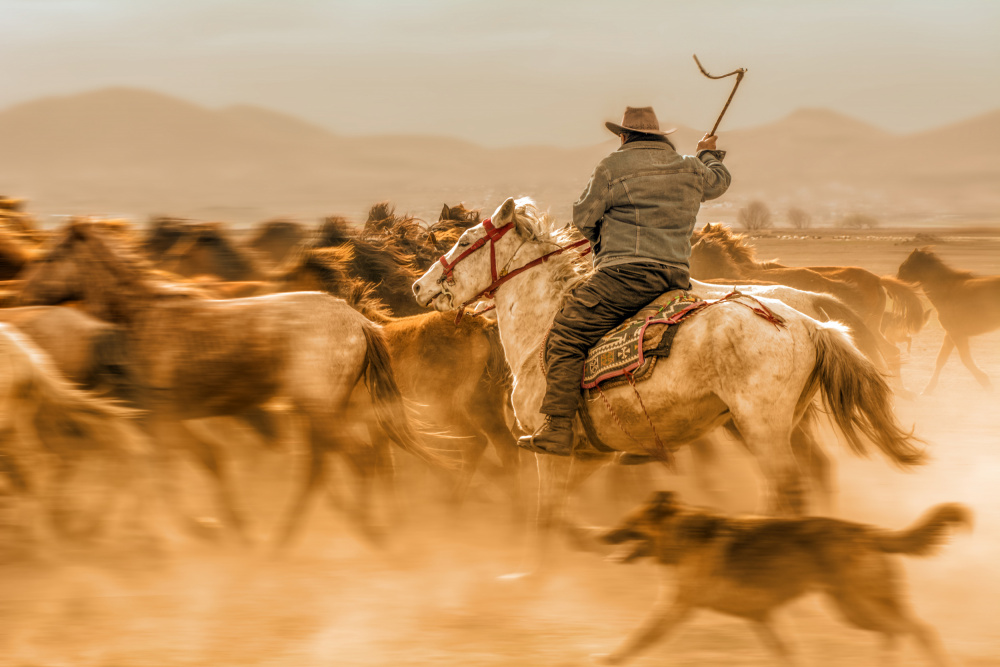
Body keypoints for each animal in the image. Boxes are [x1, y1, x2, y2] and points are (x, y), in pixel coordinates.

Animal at [12, 222, 446, 544]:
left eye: (50, 256)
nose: (21, 294)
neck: (143, 319)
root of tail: (358, 320)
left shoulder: (160, 420)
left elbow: (156, 473)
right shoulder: (167, 420)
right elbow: (204, 461)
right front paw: (227, 529)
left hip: (318, 409)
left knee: (356, 460)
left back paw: (366, 533)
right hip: (322, 411)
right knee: (331, 465)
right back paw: (289, 538)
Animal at [414, 196, 920, 528]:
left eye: (464, 239)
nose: (421, 285)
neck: (544, 323)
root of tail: (813, 322)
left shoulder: (549, 447)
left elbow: (546, 512)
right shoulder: (592, 452)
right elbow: (558, 512)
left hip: (763, 429)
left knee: (787, 489)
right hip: (776, 424)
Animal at [596, 494, 972, 664]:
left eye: (628, 525)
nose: (600, 536)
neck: (680, 535)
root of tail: (867, 531)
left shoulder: (675, 609)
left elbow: (639, 638)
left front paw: (610, 659)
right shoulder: (762, 617)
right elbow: (787, 652)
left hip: (859, 606)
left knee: (918, 629)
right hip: (852, 609)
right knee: (897, 632)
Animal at [900, 247, 1000, 394]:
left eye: (904, 268)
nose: (896, 282)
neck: (946, 292)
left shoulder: (957, 334)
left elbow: (965, 359)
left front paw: (986, 383)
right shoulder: (950, 334)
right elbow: (940, 359)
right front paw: (928, 389)